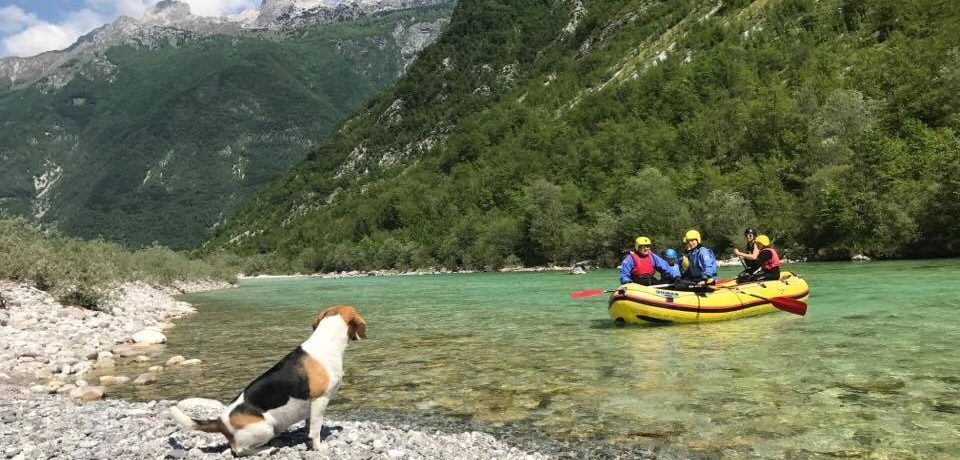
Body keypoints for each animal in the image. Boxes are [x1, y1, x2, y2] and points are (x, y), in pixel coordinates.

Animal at [171, 306, 366, 456]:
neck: (326, 340)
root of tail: (220, 421)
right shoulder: (320, 400)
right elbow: (316, 429)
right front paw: (318, 447)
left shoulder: (311, 405)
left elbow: (309, 425)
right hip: (266, 427)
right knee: (239, 450)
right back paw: (267, 449)